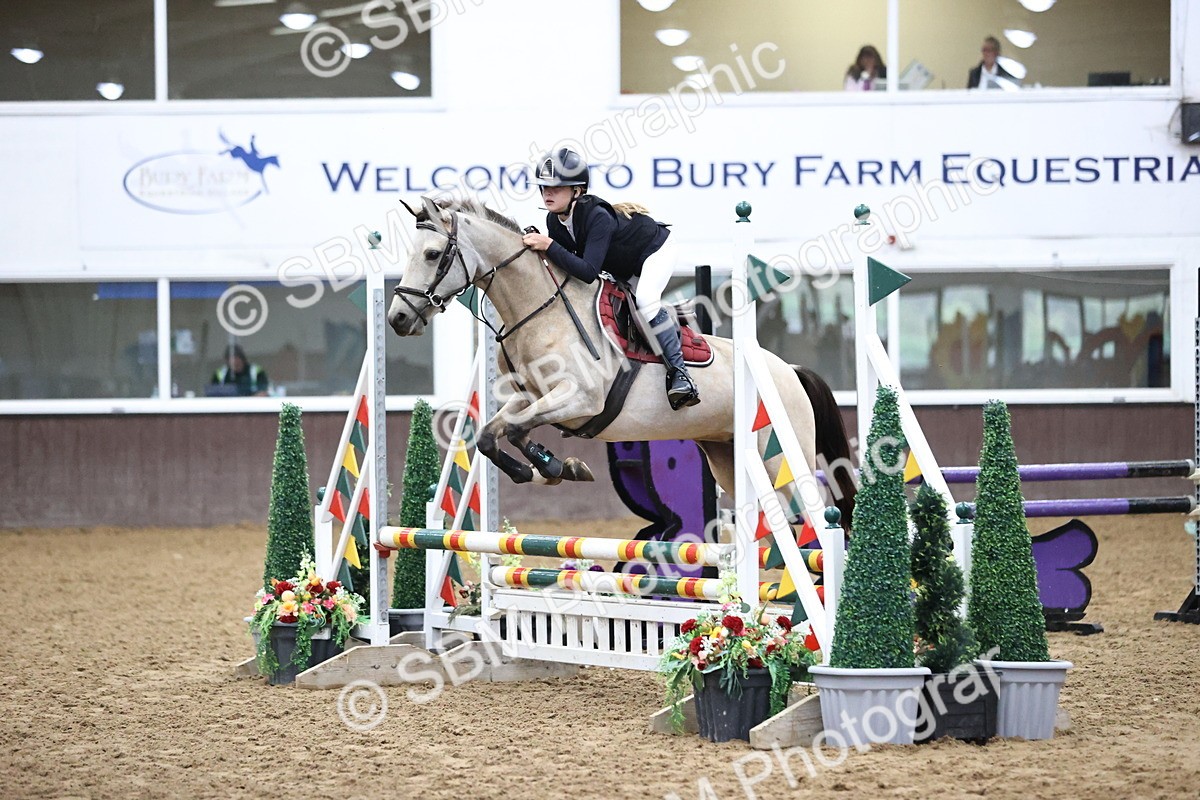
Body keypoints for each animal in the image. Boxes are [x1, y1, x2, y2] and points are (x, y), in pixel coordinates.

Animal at [387, 196, 857, 525]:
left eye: (432, 255)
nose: (397, 318)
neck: (541, 309)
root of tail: (789, 371)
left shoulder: (579, 400)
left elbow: (517, 431)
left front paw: (557, 465)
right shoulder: (533, 397)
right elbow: (491, 434)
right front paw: (550, 469)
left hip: (780, 457)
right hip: (727, 457)